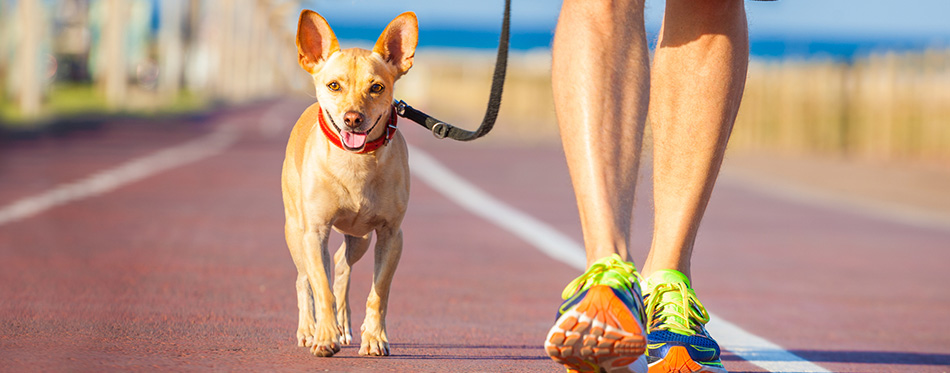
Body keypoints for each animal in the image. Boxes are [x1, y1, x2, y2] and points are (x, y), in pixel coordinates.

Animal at [280, 10, 418, 356]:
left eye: (377, 87)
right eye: (334, 85)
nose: (353, 118)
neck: (356, 163)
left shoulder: (391, 236)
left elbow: (378, 292)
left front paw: (375, 338)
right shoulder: (315, 232)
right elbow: (321, 286)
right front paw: (324, 336)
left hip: (361, 238)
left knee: (342, 266)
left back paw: (344, 325)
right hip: (295, 230)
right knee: (304, 279)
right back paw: (309, 329)